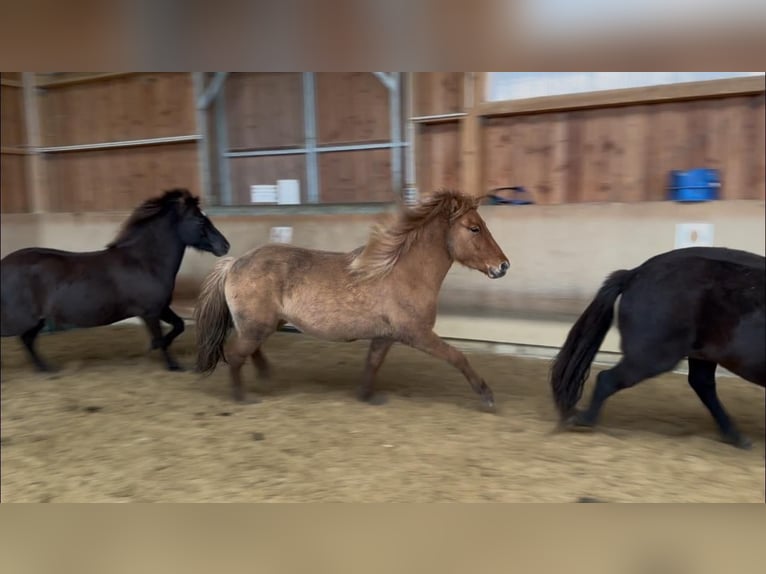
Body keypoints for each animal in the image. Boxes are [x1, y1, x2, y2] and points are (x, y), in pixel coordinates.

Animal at [1, 188, 230, 372]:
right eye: (199, 220)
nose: (225, 246)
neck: (145, 262)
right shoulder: (150, 312)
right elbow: (161, 337)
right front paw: (172, 364)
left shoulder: (161, 307)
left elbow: (179, 325)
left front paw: (157, 349)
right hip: (21, 318)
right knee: (24, 339)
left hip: (36, 320)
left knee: (28, 340)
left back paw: (46, 368)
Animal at [194, 189, 510, 409]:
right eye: (474, 228)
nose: (503, 266)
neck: (403, 273)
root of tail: (234, 263)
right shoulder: (417, 334)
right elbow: (458, 357)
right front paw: (487, 396)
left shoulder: (385, 336)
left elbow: (372, 364)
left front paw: (368, 396)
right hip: (256, 326)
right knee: (236, 355)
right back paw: (243, 397)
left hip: (263, 324)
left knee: (250, 351)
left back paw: (266, 376)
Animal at [550, 246, 765, 449]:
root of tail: (635, 274)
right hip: (652, 357)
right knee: (607, 379)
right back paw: (582, 420)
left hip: (701, 354)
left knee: (702, 385)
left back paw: (735, 436)